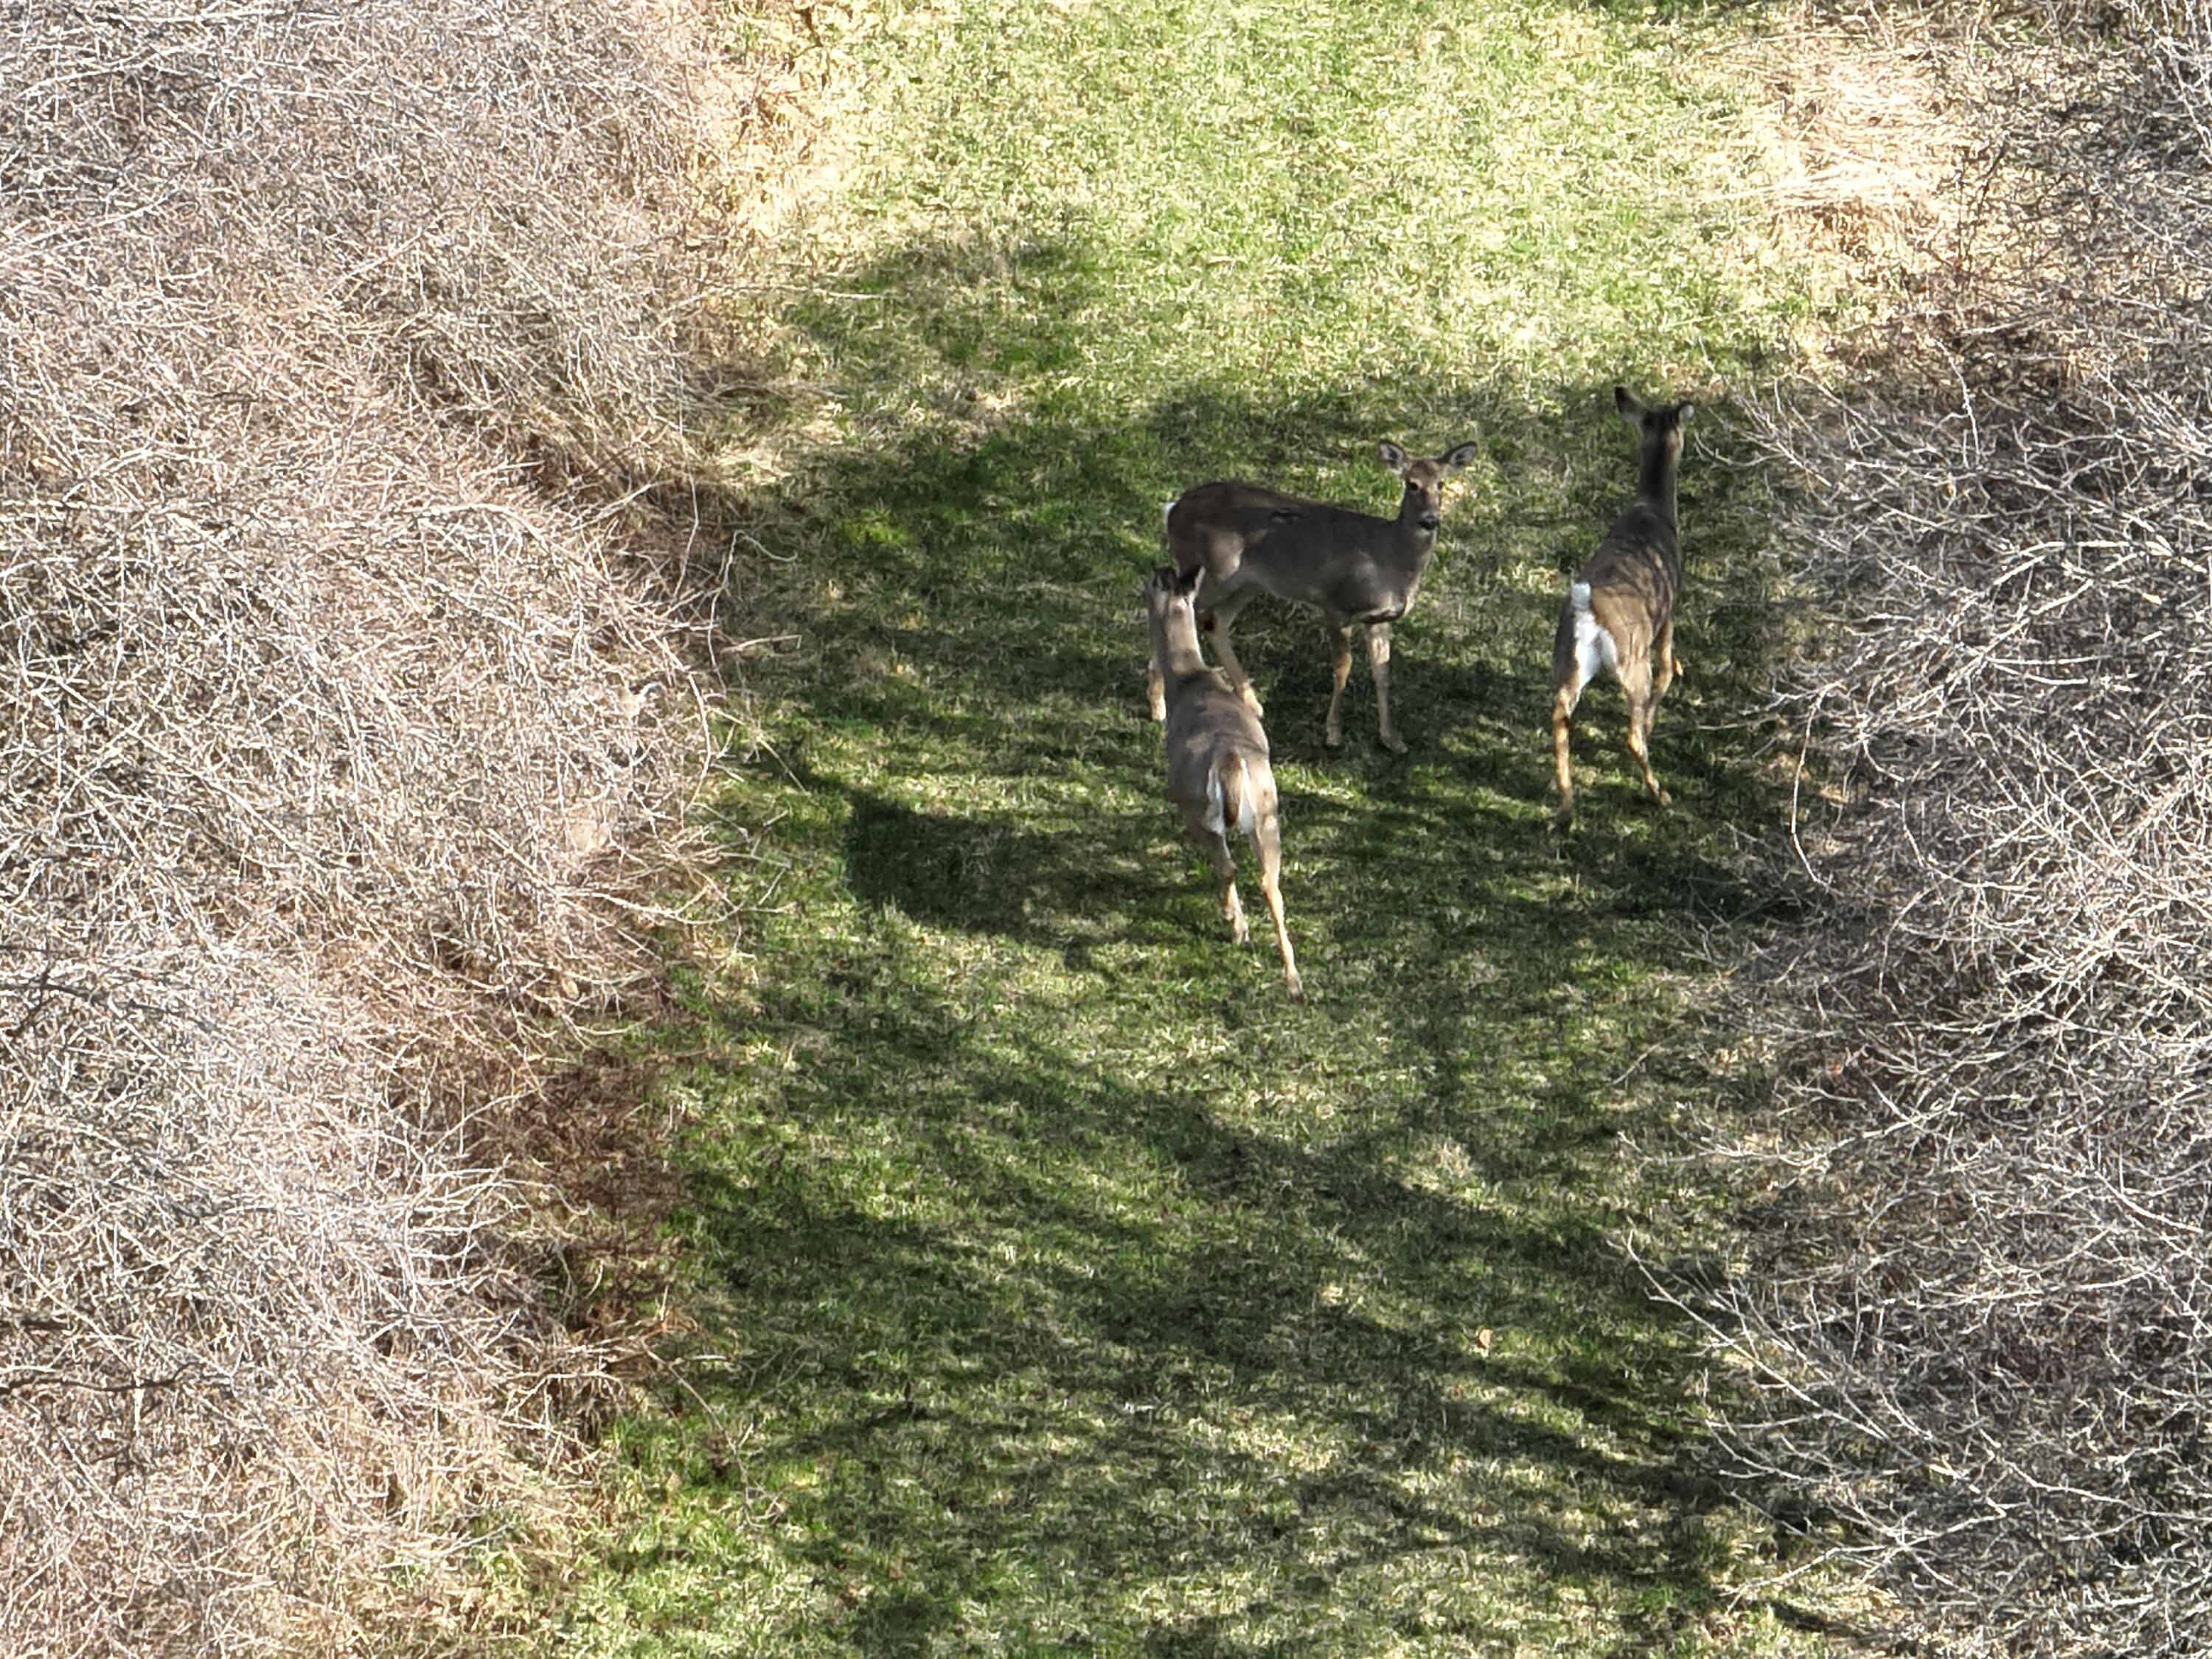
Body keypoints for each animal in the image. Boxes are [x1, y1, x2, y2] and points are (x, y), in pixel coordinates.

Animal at [1143, 565, 1302, 1001]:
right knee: (1271, 884)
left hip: (1196, 805)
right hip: (1267, 811)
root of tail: (1229, 761)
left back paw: (1237, 927)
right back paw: (1293, 981)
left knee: (1228, 865)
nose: (1152, 577)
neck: (1188, 682)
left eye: (1149, 586)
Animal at [1149, 438, 1483, 753]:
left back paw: (1252, 704)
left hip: (1249, 582)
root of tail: (1173, 509)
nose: (1430, 520)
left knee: (1214, 621)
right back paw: (1158, 705)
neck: (1390, 561)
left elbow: (1383, 673)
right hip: (1211, 568)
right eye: (1411, 484)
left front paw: (1392, 739)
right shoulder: (1335, 605)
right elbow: (1343, 667)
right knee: (1177, 604)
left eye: (1441, 484)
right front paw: (1333, 733)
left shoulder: (1381, 619)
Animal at [1550, 385, 1694, 829]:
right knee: (1632, 733)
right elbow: (1666, 664)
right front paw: (1673, 679)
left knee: (1559, 716)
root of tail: (1588, 609)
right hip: (1631, 660)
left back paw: (1566, 807)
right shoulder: (1669, 609)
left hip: (1568, 661)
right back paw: (1660, 793)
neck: (1655, 509)